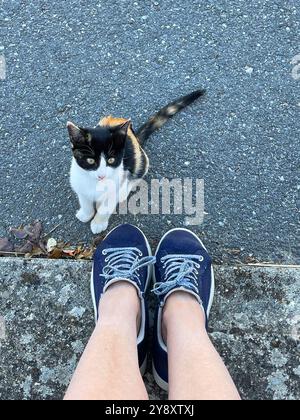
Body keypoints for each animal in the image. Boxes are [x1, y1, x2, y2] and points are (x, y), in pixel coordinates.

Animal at [67, 89, 205, 235]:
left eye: (111, 159)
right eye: (90, 160)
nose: (102, 175)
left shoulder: (117, 181)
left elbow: (107, 205)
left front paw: (98, 222)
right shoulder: (79, 184)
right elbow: (85, 201)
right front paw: (85, 214)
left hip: (142, 160)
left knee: (136, 176)